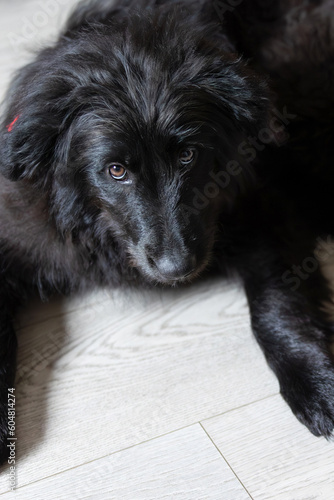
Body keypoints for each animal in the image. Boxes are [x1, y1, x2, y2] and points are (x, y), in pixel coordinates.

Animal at [0, 0, 332, 462]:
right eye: (116, 170)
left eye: (189, 155)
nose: (177, 268)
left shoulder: (264, 208)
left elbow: (275, 304)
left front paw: (314, 382)